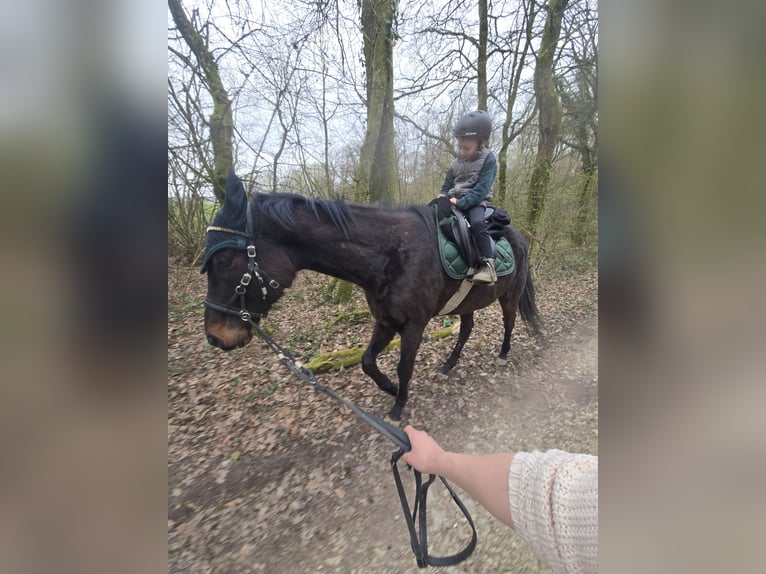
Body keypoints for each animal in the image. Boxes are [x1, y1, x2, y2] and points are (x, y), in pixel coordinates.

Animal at [201, 171, 541, 421]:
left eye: (224, 260)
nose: (215, 337)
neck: (389, 255)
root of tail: (519, 236)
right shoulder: (386, 321)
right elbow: (367, 361)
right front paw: (390, 389)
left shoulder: (413, 326)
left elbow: (405, 366)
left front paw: (398, 406)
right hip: (466, 302)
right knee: (467, 328)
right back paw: (448, 365)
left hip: (509, 296)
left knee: (509, 322)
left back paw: (503, 353)